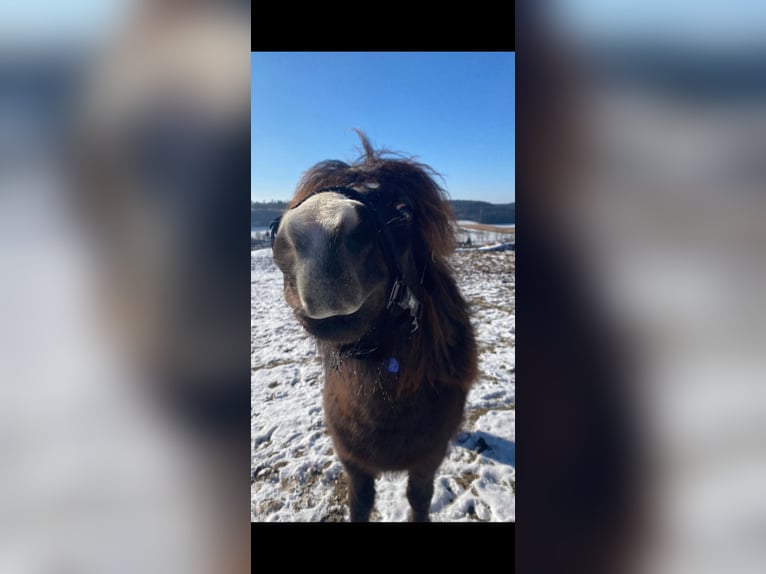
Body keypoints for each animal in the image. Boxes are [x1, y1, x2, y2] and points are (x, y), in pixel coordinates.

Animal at [271, 131, 478, 521]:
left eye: (405, 211)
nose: (318, 230)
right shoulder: (354, 463)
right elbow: (360, 502)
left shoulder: (427, 461)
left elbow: (420, 500)